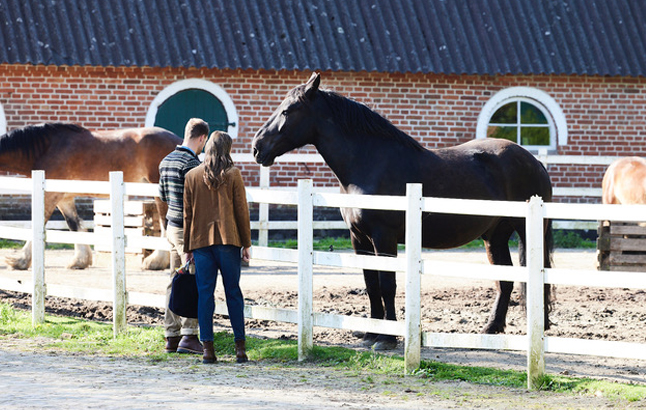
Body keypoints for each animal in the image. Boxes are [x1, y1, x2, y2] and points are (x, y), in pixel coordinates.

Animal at [1, 121, 182, 270]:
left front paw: (21, 261)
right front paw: (80, 260)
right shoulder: (64, 198)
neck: (46, 148)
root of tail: (179, 141)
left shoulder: (50, 195)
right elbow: (74, 225)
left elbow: (38, 223)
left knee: (166, 225)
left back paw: (155, 261)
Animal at [253, 73, 556, 350]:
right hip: (495, 236)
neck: (370, 163)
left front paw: (386, 339)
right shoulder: (359, 238)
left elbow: (387, 284)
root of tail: (534, 162)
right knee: (505, 280)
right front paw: (371, 334)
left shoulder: (383, 237)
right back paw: (491, 328)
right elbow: (371, 284)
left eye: (288, 110)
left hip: (526, 232)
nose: (257, 147)